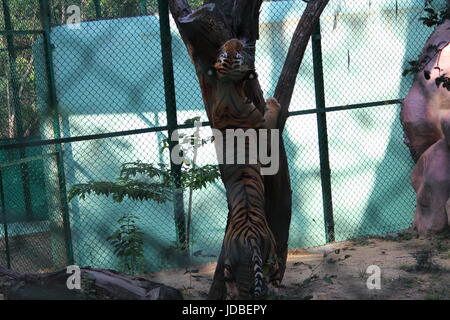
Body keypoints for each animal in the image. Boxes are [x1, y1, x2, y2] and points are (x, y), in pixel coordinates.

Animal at [207, 38, 282, 298]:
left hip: (229, 258)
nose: (234, 40)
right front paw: (273, 102)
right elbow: (270, 117)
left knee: (230, 283)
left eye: (225, 52)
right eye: (233, 52)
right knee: (274, 277)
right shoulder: (264, 131)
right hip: (272, 252)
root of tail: (249, 234)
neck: (228, 87)